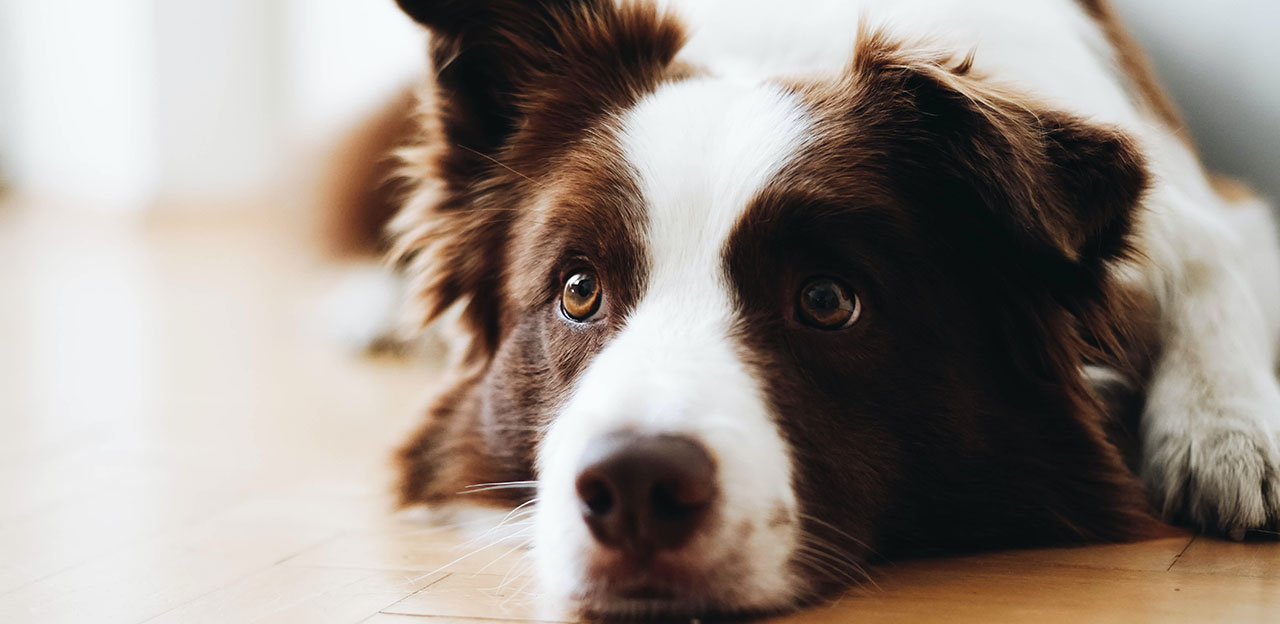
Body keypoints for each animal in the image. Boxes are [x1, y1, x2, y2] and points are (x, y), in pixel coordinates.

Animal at [358, 0, 1280, 616]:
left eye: (828, 300)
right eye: (578, 291)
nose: (635, 484)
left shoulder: (1213, 209)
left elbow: (1217, 268)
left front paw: (1229, 433)